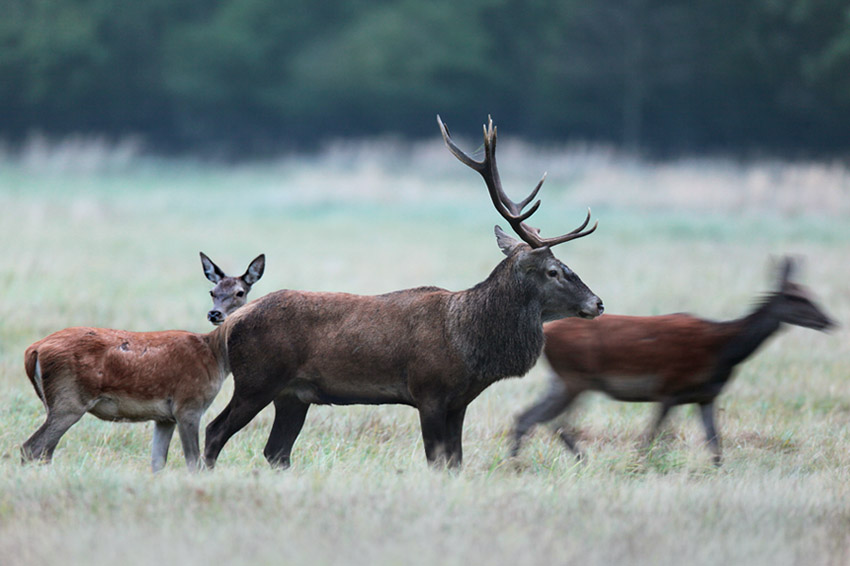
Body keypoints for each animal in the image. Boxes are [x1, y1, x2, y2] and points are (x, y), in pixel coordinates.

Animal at [20, 255, 264, 472]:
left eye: (240, 292)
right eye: (213, 291)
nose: (214, 313)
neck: (215, 356)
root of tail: (33, 350)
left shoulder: (165, 417)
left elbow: (157, 463)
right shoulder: (189, 404)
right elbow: (193, 463)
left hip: (55, 402)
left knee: (43, 451)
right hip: (69, 400)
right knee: (33, 447)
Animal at [203, 117, 604, 472]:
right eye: (554, 271)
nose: (597, 302)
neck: (468, 345)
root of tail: (229, 325)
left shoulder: (459, 402)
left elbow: (455, 463)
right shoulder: (428, 391)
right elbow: (436, 461)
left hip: (293, 394)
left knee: (276, 452)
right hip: (257, 380)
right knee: (214, 431)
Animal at [510, 260, 836, 468]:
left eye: (810, 293)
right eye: (796, 297)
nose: (829, 321)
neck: (724, 351)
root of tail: (547, 331)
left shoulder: (706, 396)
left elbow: (715, 442)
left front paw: (718, 471)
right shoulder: (669, 387)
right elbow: (652, 437)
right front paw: (638, 466)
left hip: (566, 380)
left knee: (531, 417)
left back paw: (524, 461)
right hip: (575, 378)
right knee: (552, 421)